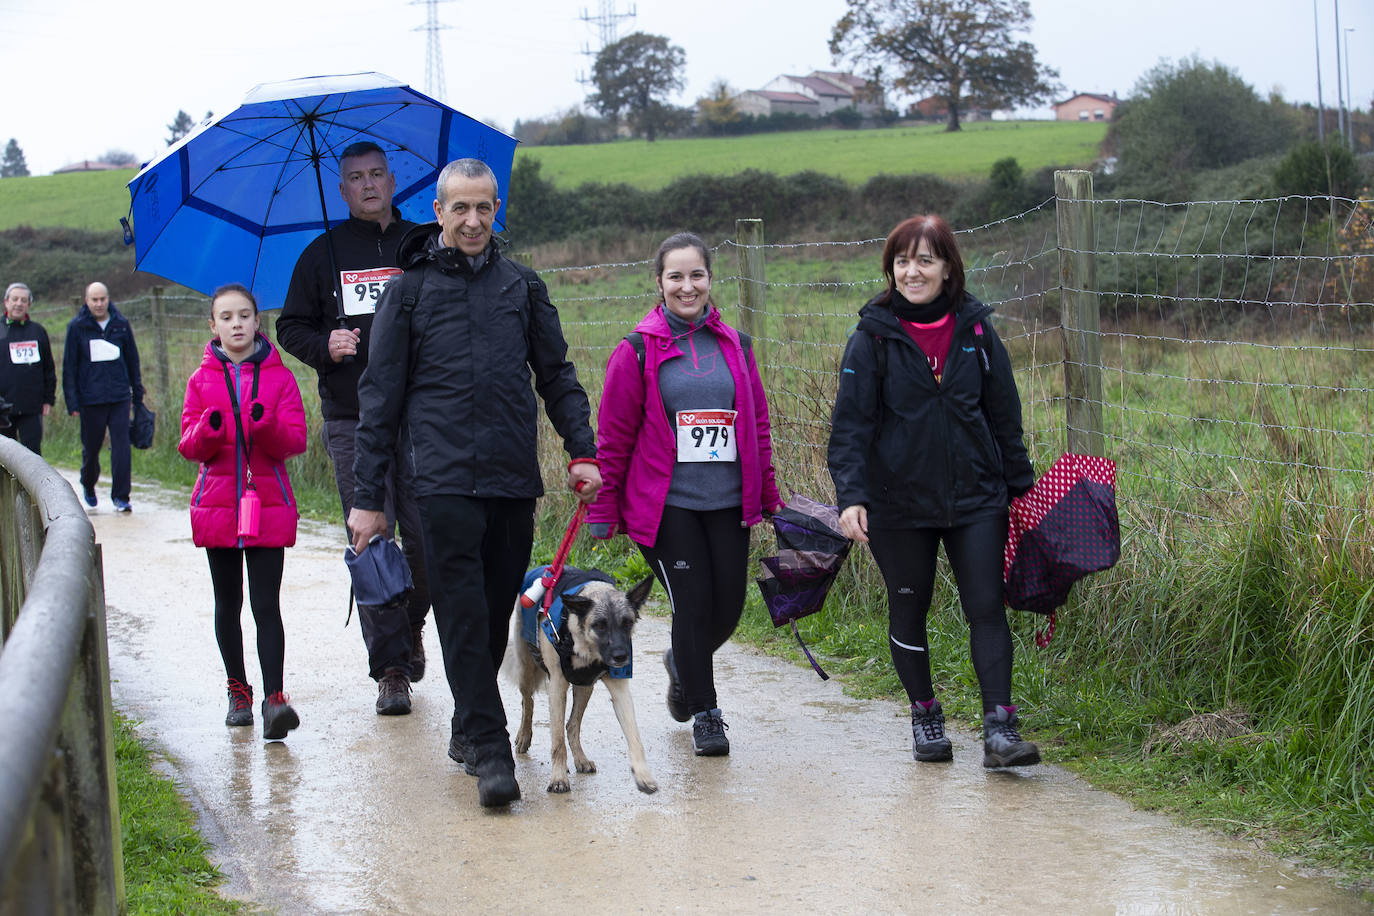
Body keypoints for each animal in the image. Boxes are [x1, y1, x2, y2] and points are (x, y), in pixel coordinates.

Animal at [511, 574, 659, 796]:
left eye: (627, 623)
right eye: (600, 625)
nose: (621, 657)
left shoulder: (620, 690)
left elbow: (635, 737)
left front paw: (643, 776)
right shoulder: (557, 687)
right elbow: (557, 742)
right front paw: (558, 778)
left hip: (585, 687)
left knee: (572, 724)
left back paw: (580, 759)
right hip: (527, 672)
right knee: (527, 703)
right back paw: (524, 736)